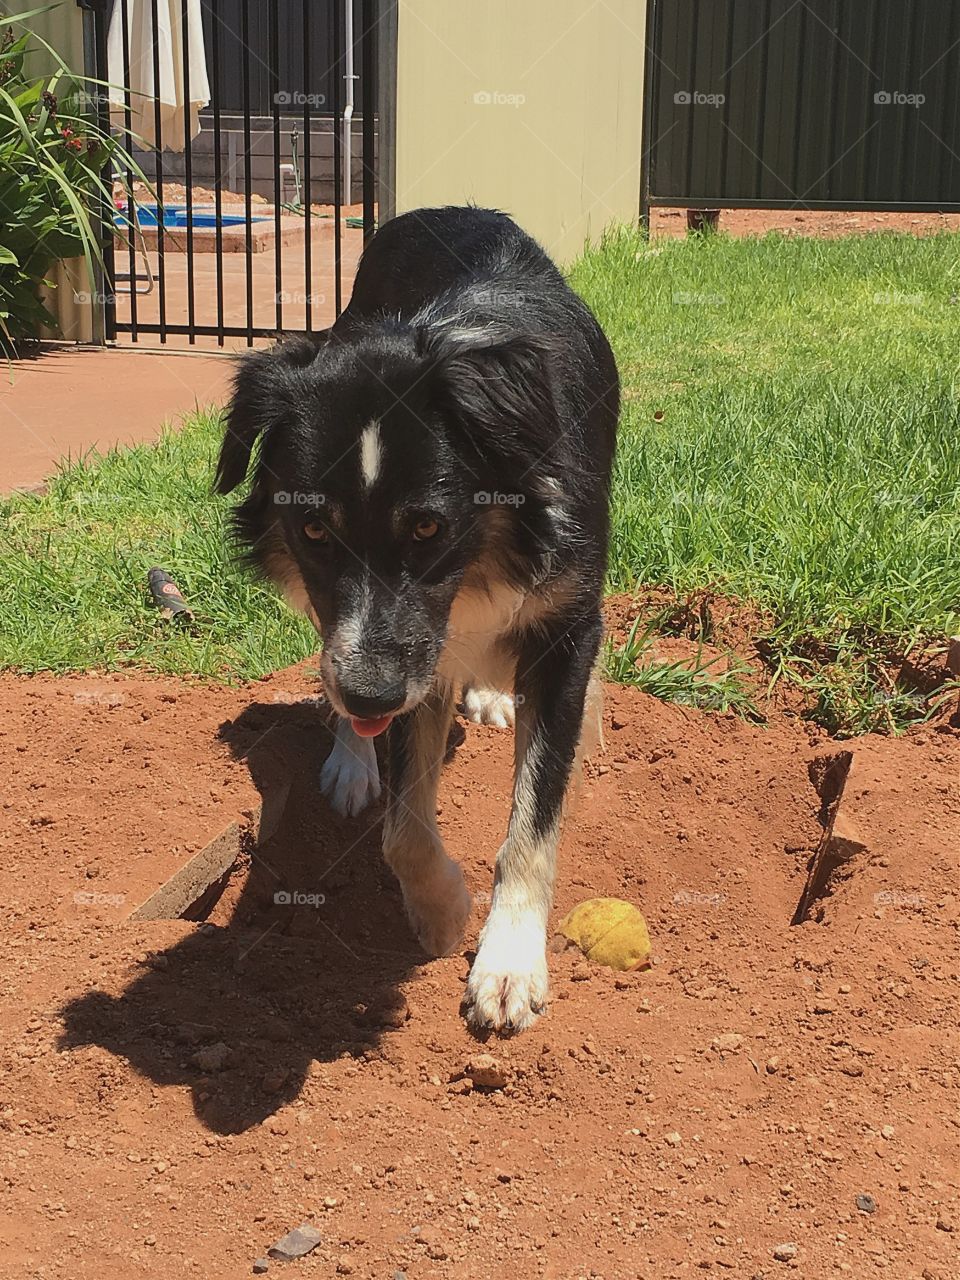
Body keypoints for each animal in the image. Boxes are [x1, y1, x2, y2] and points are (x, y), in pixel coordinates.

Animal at [217, 207, 619, 1029]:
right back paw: (352, 755)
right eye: (314, 530)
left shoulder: (566, 621)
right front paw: (440, 913)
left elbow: (536, 814)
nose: (369, 694)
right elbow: (402, 828)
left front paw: (508, 963)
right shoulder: (401, 656)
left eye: (430, 527)